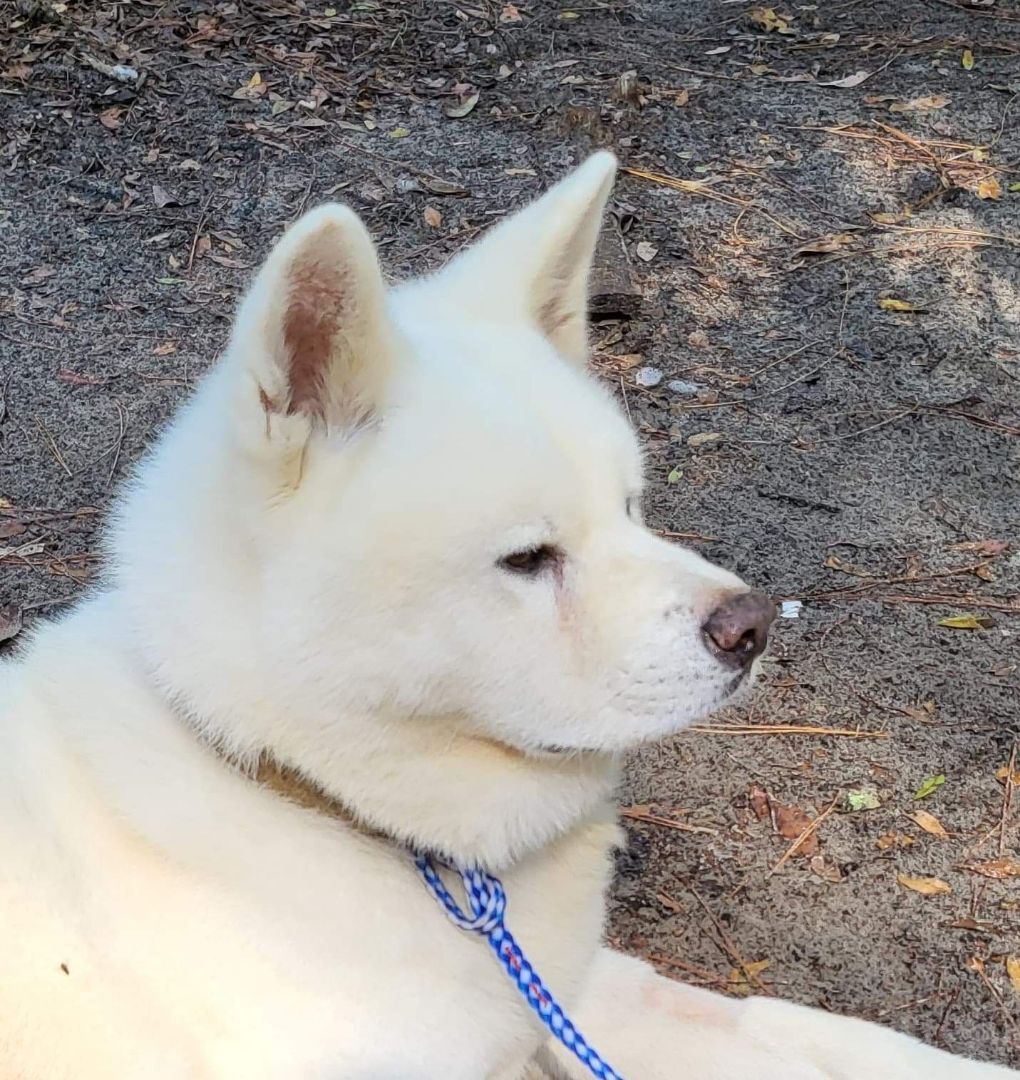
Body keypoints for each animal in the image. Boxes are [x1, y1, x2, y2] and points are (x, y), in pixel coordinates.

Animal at [0, 154, 1011, 1080]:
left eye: (631, 507)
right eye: (527, 559)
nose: (752, 625)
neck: (300, 786)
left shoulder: (567, 995)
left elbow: (800, 1030)